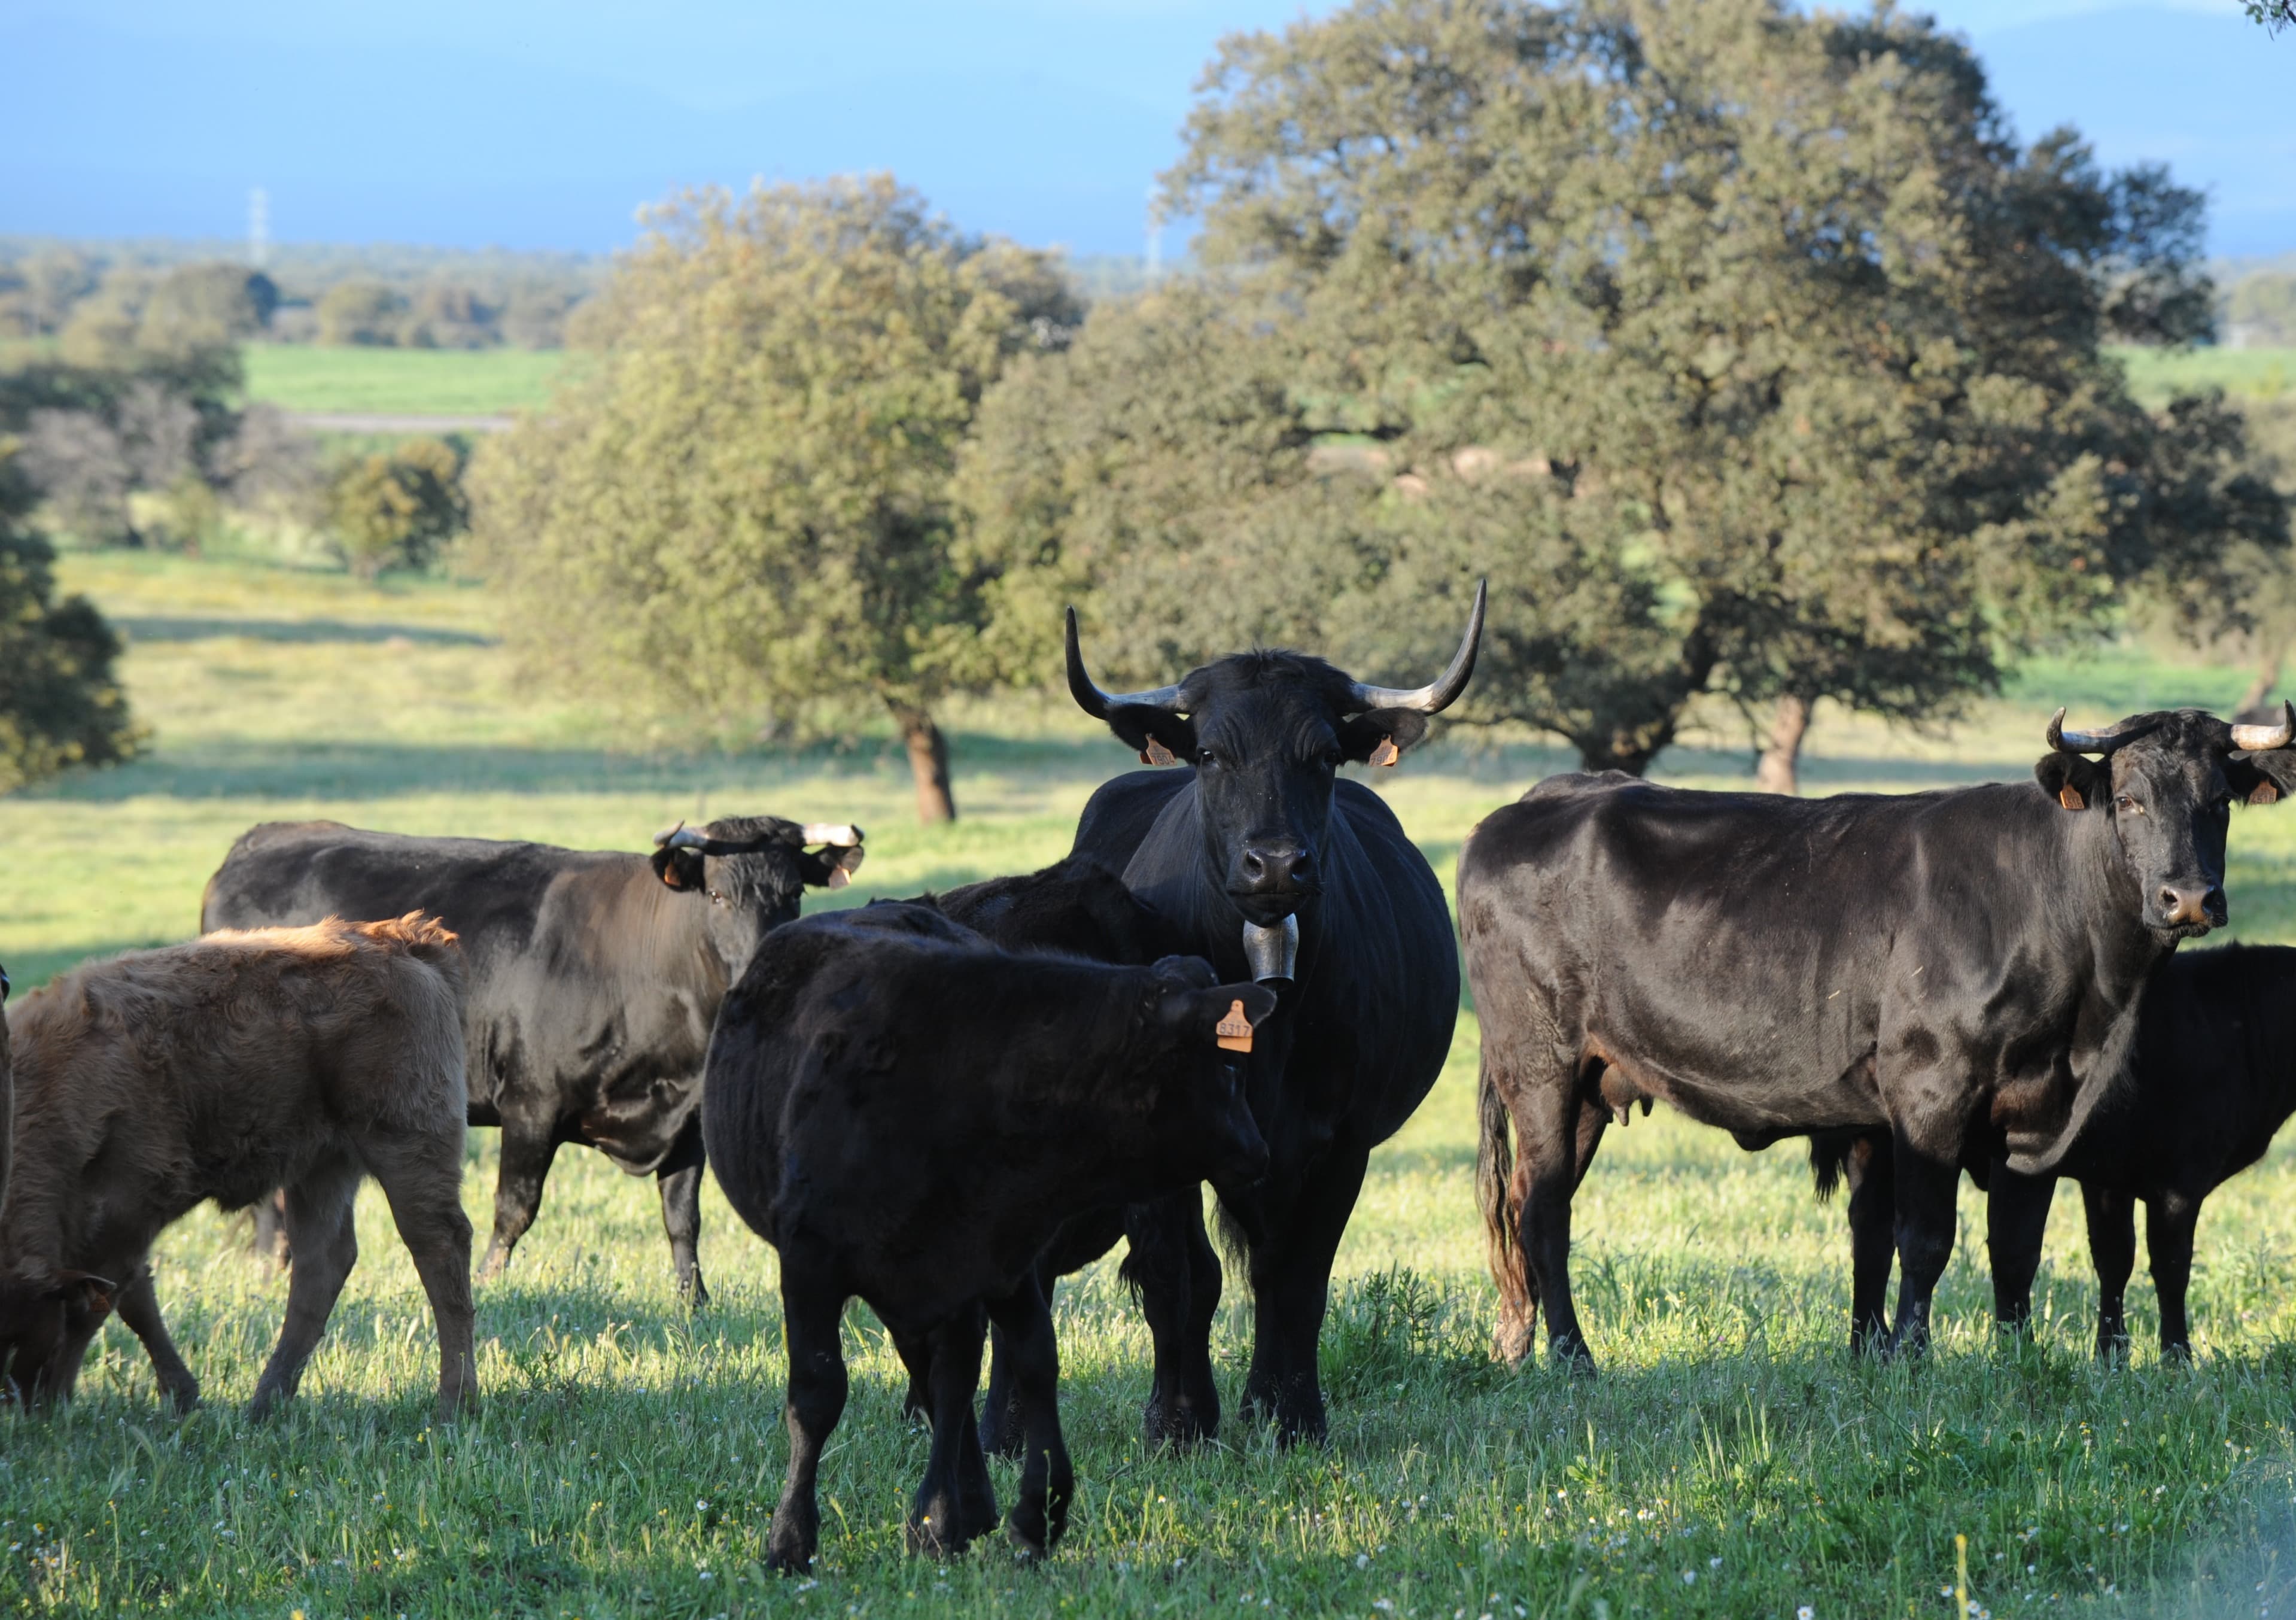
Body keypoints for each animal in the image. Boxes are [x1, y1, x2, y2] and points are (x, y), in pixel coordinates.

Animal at [0, 916, 476, 1420]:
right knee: (322, 1261)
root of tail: (403, 939)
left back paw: (455, 1401)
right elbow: (132, 1297)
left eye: (21, 1336)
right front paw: (181, 1395)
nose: (18, 1404)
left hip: (406, 1144)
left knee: (439, 1247)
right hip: (323, 1164)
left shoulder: (128, 1206)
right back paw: (266, 1401)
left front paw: (64, 1397)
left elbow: (102, 1305)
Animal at [199, 815, 864, 1301]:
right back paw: (269, 1267)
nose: (761, 963)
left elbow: (683, 1218)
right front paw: (489, 1282)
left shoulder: (688, 1121)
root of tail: (265, 837)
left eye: (793, 894)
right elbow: (513, 1209)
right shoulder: (531, 1101)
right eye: (720, 895)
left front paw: (692, 1301)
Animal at [700, 905, 1273, 1570]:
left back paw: (958, 1509)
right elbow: (817, 1392)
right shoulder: (811, 1258)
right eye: (1228, 1065)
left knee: (948, 1377)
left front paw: (1029, 1512)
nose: (1259, 1151)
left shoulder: (1000, 1254)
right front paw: (790, 1540)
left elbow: (1031, 1361)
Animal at [1059, 583, 1483, 1444]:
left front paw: (1291, 1418)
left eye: (1321, 755)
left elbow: (1296, 1276)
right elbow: (1181, 1273)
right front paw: (1179, 1423)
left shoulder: (1339, 1143)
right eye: (1211, 754)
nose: (1277, 864)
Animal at [1462, 704, 2296, 1374]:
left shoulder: (2035, 1112)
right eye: (2127, 799)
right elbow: (1924, 1236)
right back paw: (1574, 1358)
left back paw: (1520, 1349)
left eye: (2219, 802)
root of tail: (1540, 800)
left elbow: (2012, 1248)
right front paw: (1911, 1355)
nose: (2190, 898)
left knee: (1530, 1201)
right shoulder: (1931, 1092)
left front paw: (2013, 1359)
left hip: (1589, 1084)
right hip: (1540, 1065)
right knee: (1543, 1209)